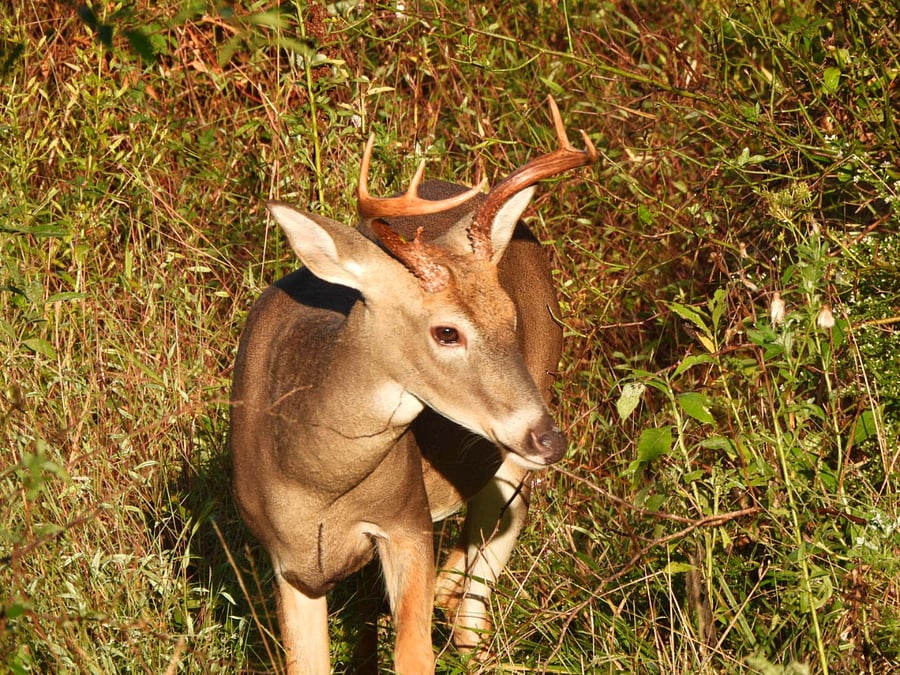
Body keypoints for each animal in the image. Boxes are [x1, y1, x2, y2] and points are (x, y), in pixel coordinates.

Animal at [229, 96, 596, 674]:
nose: (550, 438)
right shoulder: (287, 563)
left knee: (498, 531)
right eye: (446, 331)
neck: (315, 482)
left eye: (509, 316)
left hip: (532, 397)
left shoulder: (407, 519)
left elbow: (414, 655)